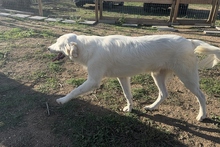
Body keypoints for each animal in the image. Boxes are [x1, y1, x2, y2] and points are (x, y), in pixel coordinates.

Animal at [48, 33, 220, 120]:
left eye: (57, 42)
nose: (48, 47)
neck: (89, 47)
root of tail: (189, 41)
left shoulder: (93, 81)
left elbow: (74, 91)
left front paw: (62, 100)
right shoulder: (123, 77)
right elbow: (128, 95)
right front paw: (130, 109)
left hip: (187, 79)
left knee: (202, 97)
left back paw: (202, 115)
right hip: (157, 75)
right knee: (164, 94)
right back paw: (151, 107)